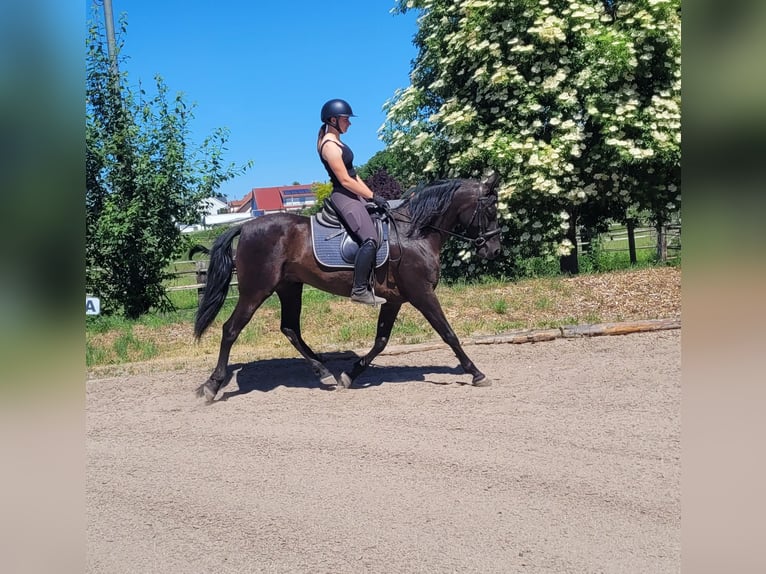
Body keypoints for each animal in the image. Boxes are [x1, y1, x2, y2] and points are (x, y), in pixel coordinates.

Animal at [192, 172, 503, 402]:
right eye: (490, 209)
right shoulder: (421, 293)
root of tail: (244, 227)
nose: (495, 250)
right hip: (255, 291)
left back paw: (324, 372)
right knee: (230, 330)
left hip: (289, 287)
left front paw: (350, 375)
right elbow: (449, 333)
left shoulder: (394, 300)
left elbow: (381, 340)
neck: (413, 234)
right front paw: (476, 373)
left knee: (290, 328)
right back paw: (212, 385)